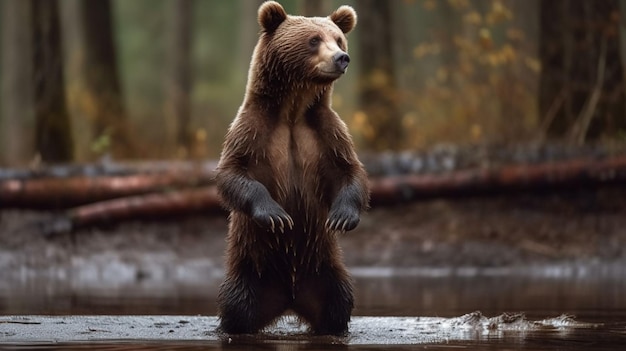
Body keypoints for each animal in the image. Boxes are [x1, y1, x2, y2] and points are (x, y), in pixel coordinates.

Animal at [217, 0, 368, 338]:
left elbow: (350, 171)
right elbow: (232, 173)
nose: (342, 58)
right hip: (252, 268)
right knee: (237, 306)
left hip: (325, 269)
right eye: (313, 40)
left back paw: (333, 326)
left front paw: (342, 216)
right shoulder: (252, 129)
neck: (293, 110)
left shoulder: (325, 133)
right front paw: (277, 216)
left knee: (339, 301)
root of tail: (289, 299)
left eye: (339, 39)